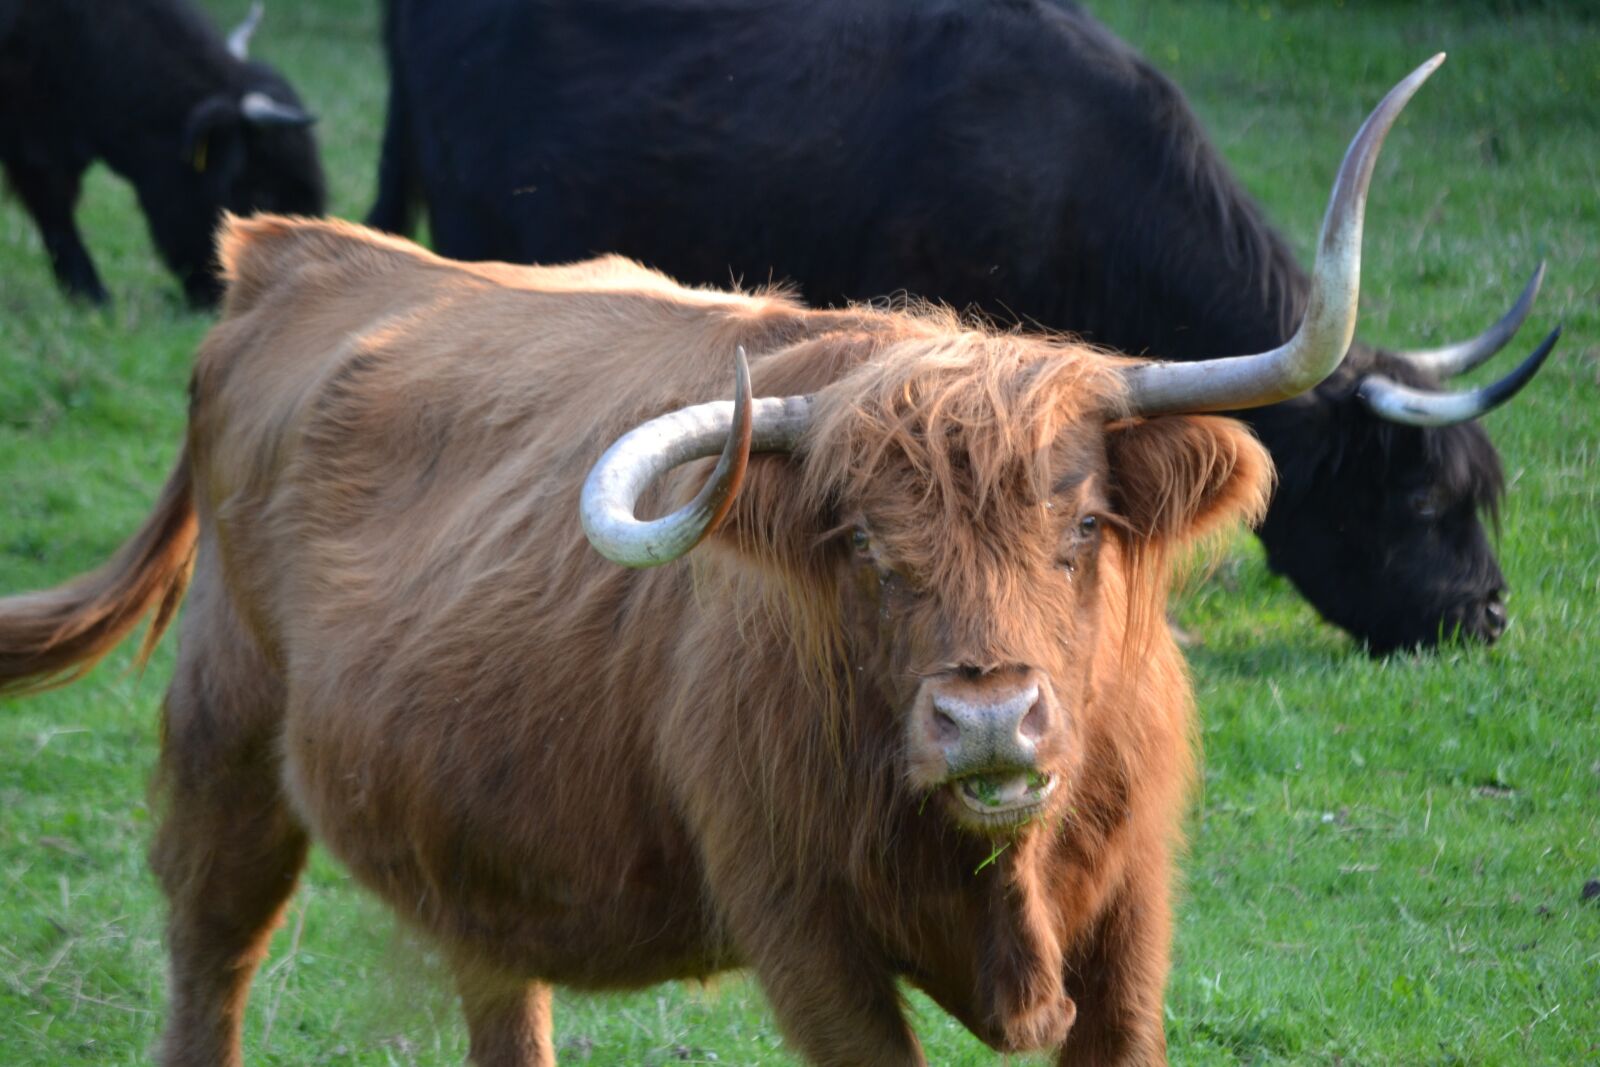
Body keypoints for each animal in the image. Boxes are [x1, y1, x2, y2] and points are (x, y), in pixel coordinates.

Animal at [0, 64, 1462, 1064]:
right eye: (866, 548)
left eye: (1081, 530)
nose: (989, 715)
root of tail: (291, 255)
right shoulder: (801, 926)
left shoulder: (1132, 916)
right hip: (225, 739)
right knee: (210, 955)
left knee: (495, 989)